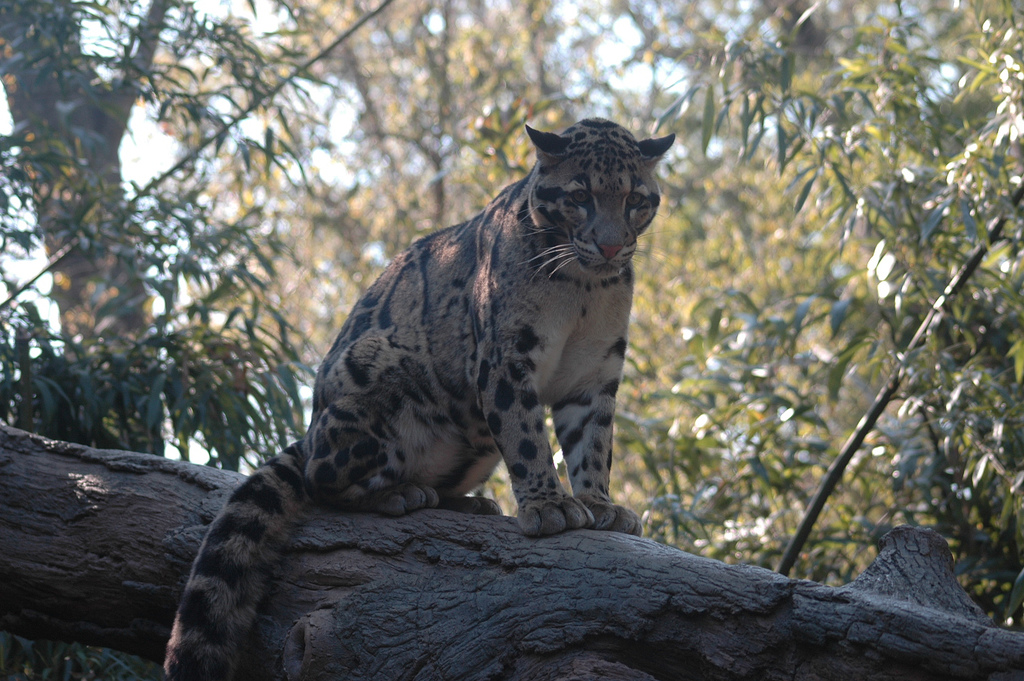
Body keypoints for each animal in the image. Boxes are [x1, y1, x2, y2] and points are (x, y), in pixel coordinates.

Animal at [163, 119, 675, 675]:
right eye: (581, 196)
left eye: (634, 200)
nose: (611, 248)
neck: (585, 289)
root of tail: (310, 427)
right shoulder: (503, 359)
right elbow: (527, 438)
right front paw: (549, 505)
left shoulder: (596, 372)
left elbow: (594, 446)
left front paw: (599, 503)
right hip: (371, 368)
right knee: (320, 477)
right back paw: (400, 494)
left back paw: (469, 504)